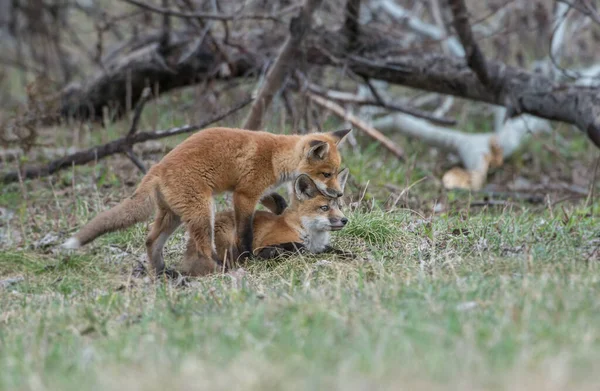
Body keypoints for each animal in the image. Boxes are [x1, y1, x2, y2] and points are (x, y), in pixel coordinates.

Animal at [183, 169, 352, 276]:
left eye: (339, 207)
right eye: (324, 208)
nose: (345, 220)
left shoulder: (320, 247)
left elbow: (339, 251)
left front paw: (352, 256)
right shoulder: (266, 245)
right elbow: (301, 249)